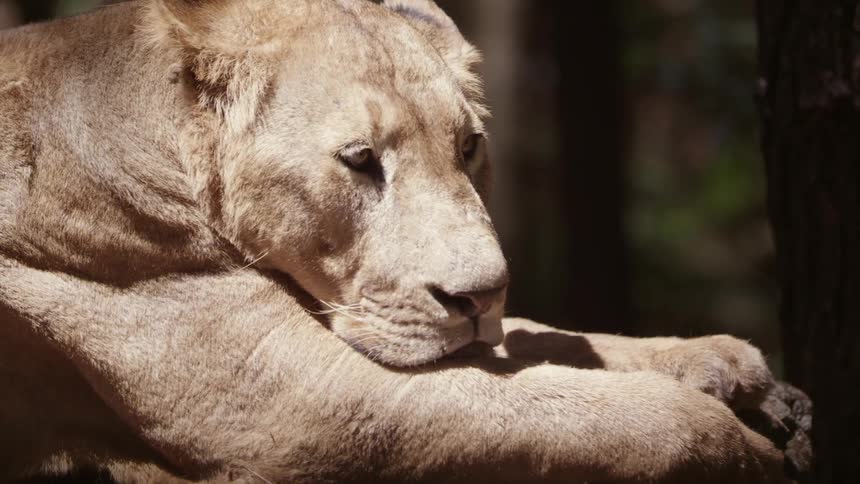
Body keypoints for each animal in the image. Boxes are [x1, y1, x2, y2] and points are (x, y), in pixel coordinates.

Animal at [0, 0, 786, 482]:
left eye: (469, 147)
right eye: (359, 160)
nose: (482, 295)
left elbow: (546, 341)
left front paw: (713, 358)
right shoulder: (292, 399)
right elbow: (580, 411)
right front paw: (747, 449)